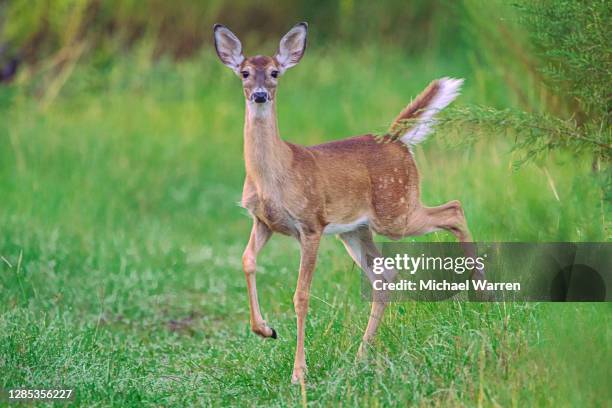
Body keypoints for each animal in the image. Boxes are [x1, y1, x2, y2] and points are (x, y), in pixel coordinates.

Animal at [213, 22, 486, 384]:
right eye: (244, 73)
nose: (259, 94)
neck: (275, 175)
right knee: (385, 275)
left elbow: (301, 295)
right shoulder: (263, 221)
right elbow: (246, 260)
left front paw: (298, 372)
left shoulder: (311, 224)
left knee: (454, 209)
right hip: (356, 229)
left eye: (274, 72)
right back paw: (360, 356)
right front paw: (265, 330)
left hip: (395, 211)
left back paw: (483, 292)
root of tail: (396, 139)